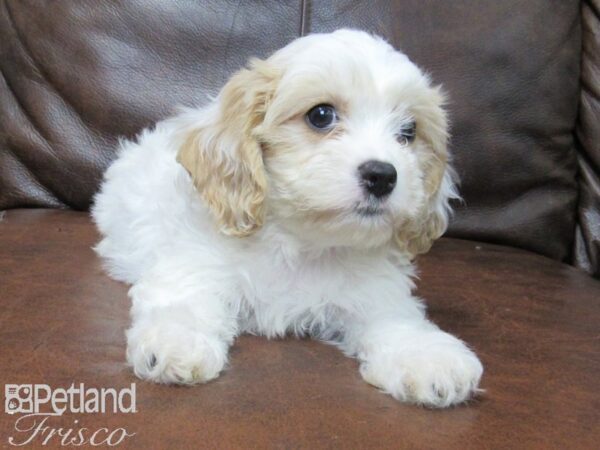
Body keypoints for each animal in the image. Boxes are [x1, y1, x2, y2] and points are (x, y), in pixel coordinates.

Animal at [95, 29, 488, 408]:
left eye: (408, 131)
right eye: (321, 115)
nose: (382, 175)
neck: (301, 242)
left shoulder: (377, 291)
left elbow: (399, 320)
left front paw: (427, 358)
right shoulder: (195, 261)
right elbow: (185, 301)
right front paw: (175, 342)